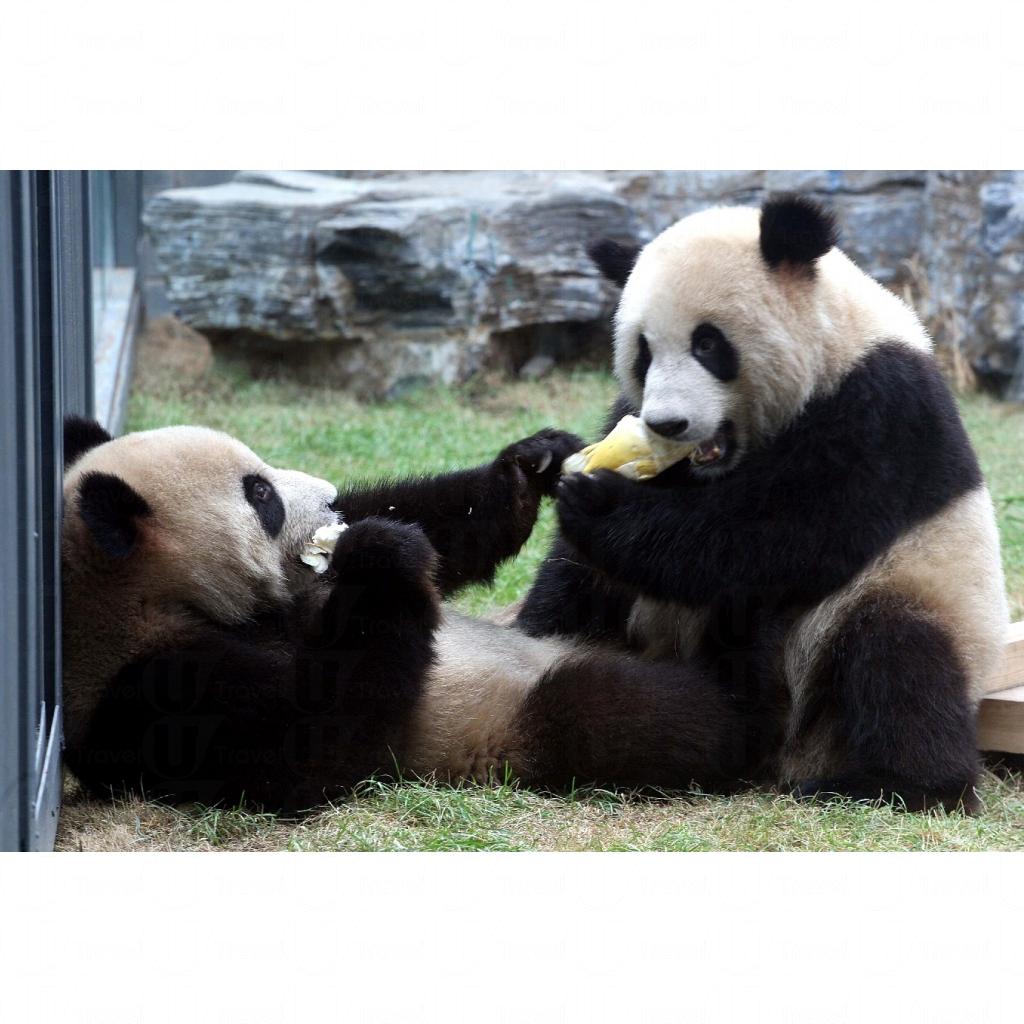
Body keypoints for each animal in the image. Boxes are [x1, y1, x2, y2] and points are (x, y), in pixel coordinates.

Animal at [62, 418, 752, 812]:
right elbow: (312, 745)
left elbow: (430, 522)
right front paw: (381, 555)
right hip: (507, 724)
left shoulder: (300, 589)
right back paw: (732, 708)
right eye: (260, 496)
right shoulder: (149, 690)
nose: (330, 498)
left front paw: (533, 463)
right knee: (616, 713)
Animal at [518, 194, 1009, 812]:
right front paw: (550, 455)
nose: (667, 424)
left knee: (898, 659)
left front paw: (600, 502)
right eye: (643, 352)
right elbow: (580, 571)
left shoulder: (880, 409)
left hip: (923, 597)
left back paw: (893, 783)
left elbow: (782, 535)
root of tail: (790, 752)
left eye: (708, 344)